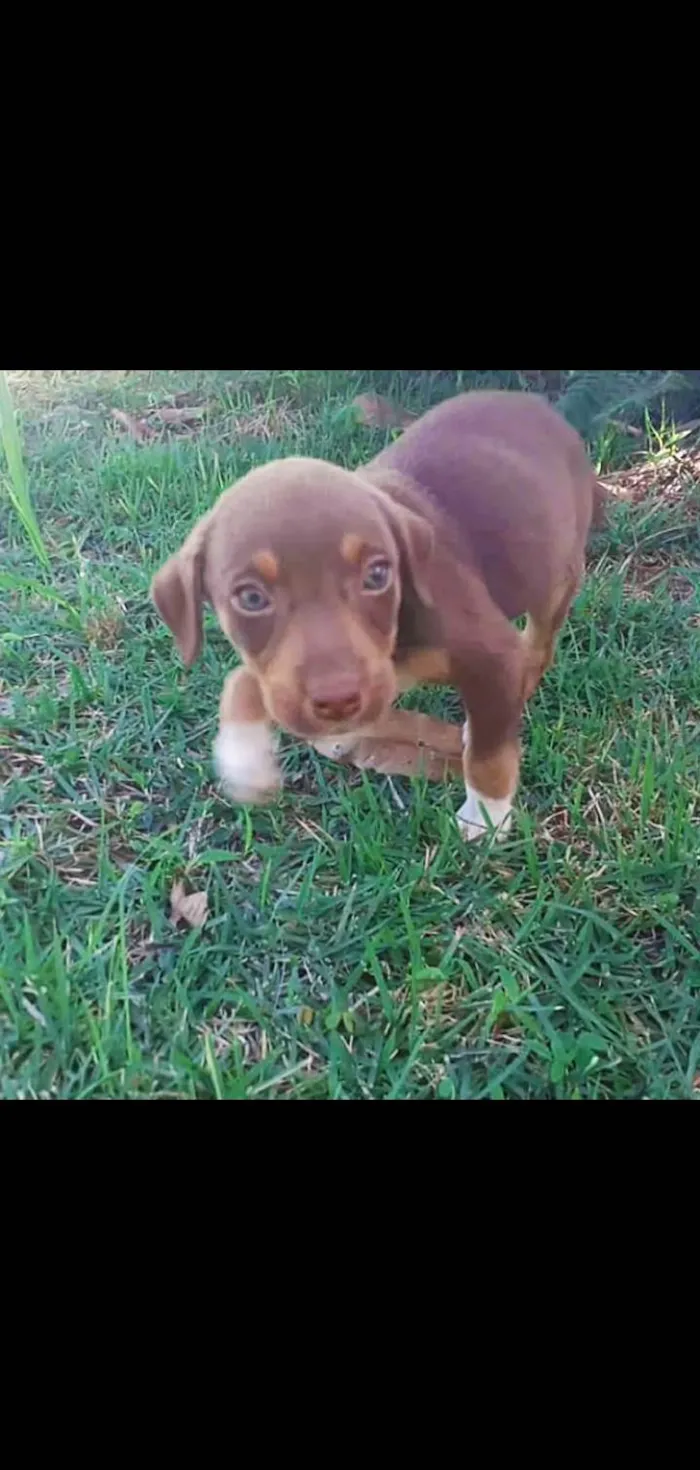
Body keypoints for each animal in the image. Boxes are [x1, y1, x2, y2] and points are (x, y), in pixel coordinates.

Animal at [150, 393, 600, 840]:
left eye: (378, 575)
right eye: (250, 598)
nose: (338, 701)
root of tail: (538, 403)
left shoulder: (492, 652)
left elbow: (489, 755)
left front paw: (485, 817)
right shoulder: (301, 678)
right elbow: (241, 682)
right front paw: (245, 761)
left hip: (558, 572)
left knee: (539, 646)